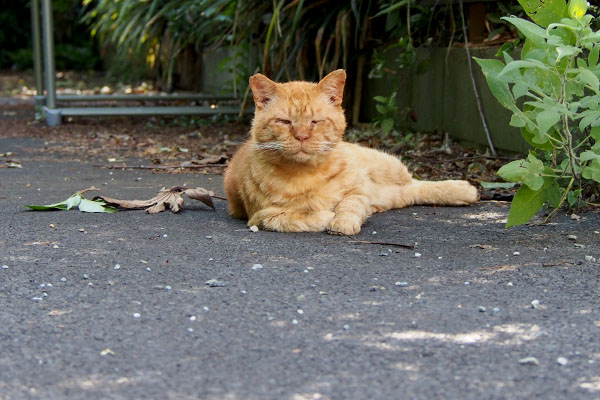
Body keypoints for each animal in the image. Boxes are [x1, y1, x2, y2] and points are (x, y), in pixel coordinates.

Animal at [224, 70, 478, 236]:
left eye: (316, 122)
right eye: (285, 122)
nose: (302, 136)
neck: (307, 174)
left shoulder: (357, 192)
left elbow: (348, 206)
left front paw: (342, 221)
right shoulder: (263, 216)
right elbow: (302, 217)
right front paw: (327, 216)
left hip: (387, 167)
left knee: (417, 183)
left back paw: (462, 189)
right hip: (395, 194)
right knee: (411, 192)